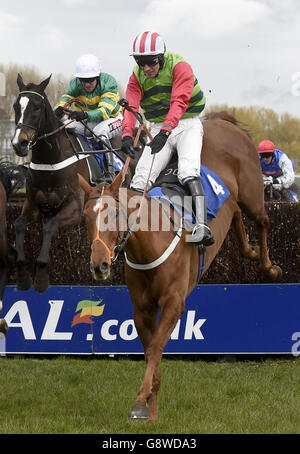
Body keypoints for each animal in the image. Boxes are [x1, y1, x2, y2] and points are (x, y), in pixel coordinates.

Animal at [10, 73, 139, 294]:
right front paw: (23, 276)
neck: (51, 159)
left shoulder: (75, 209)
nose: (20, 143)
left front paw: (41, 277)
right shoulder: (33, 203)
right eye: (16, 106)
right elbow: (18, 224)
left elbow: (50, 226)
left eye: (37, 106)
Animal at [77, 111, 282, 422]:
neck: (152, 242)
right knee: (235, 214)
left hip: (252, 192)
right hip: (234, 200)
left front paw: (141, 401)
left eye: (113, 214)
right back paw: (249, 250)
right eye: (86, 217)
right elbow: (150, 351)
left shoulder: (174, 302)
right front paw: (152, 408)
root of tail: (221, 121)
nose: (98, 265)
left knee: (262, 221)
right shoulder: (142, 308)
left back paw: (269, 266)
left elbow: (156, 348)